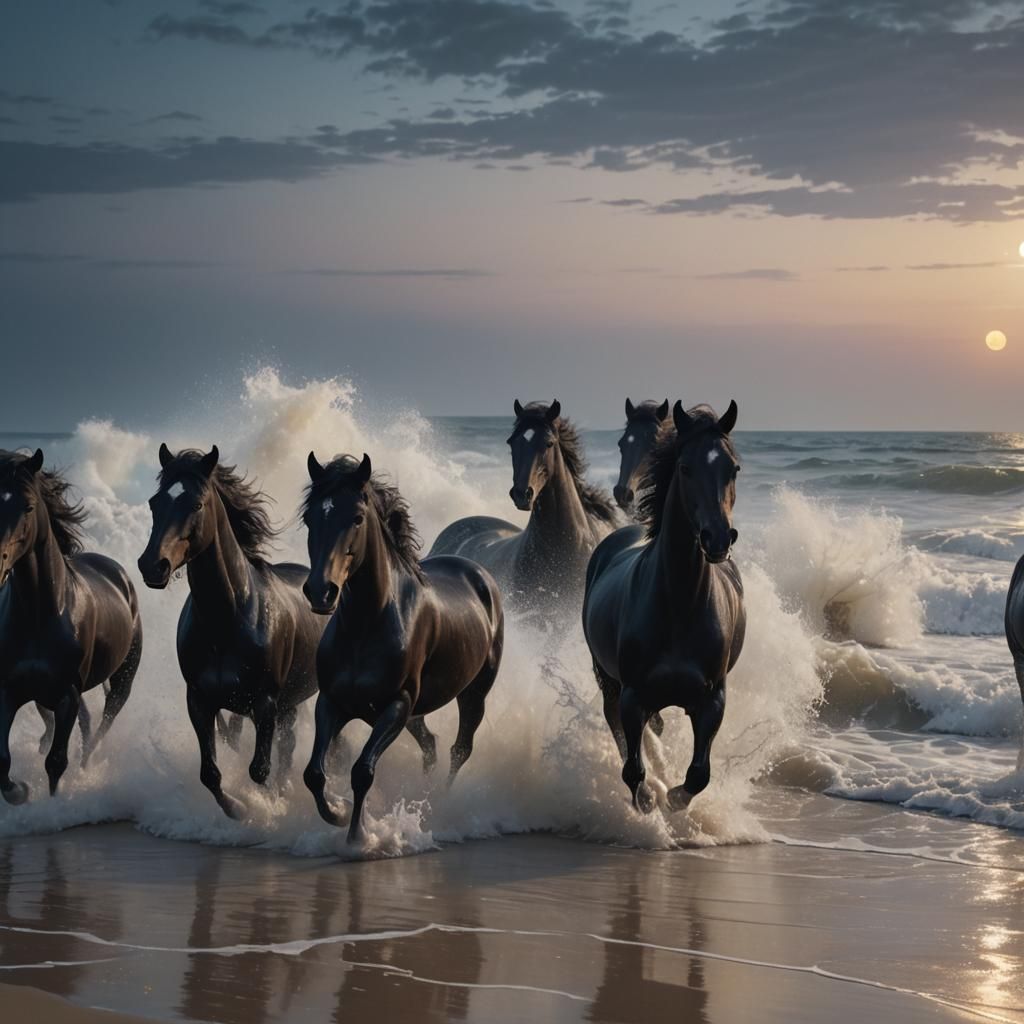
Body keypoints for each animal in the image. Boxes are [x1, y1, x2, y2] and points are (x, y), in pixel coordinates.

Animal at [0, 449, 141, 804]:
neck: (42, 613)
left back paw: (86, 766)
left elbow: (56, 762)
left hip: (122, 681)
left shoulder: (67, 694)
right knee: (84, 723)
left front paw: (54, 803)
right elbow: (3, 759)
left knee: (102, 724)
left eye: (28, 506)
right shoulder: (9, 689)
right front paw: (20, 791)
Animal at [137, 444, 328, 819]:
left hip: (285, 703)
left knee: (284, 752)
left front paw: (264, 807)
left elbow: (259, 770)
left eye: (196, 504)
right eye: (154, 502)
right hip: (285, 705)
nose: (152, 566)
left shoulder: (265, 704)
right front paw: (238, 809)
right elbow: (210, 773)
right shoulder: (199, 701)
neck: (227, 622)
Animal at [300, 453, 504, 843]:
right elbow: (314, 773)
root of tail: (478, 572)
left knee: (459, 749)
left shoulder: (396, 705)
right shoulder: (332, 702)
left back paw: (439, 803)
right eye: (309, 517)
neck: (366, 626)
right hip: (417, 714)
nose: (321, 592)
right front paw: (337, 812)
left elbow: (362, 770)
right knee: (431, 746)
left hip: (474, 694)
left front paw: (358, 837)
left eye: (357, 517)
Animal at [582, 402, 746, 813]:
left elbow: (699, 774)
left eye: (733, 468)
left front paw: (672, 798)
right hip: (607, 679)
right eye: (685, 467)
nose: (718, 539)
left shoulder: (712, 700)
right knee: (616, 724)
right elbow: (632, 769)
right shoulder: (633, 695)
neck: (679, 604)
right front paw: (649, 799)